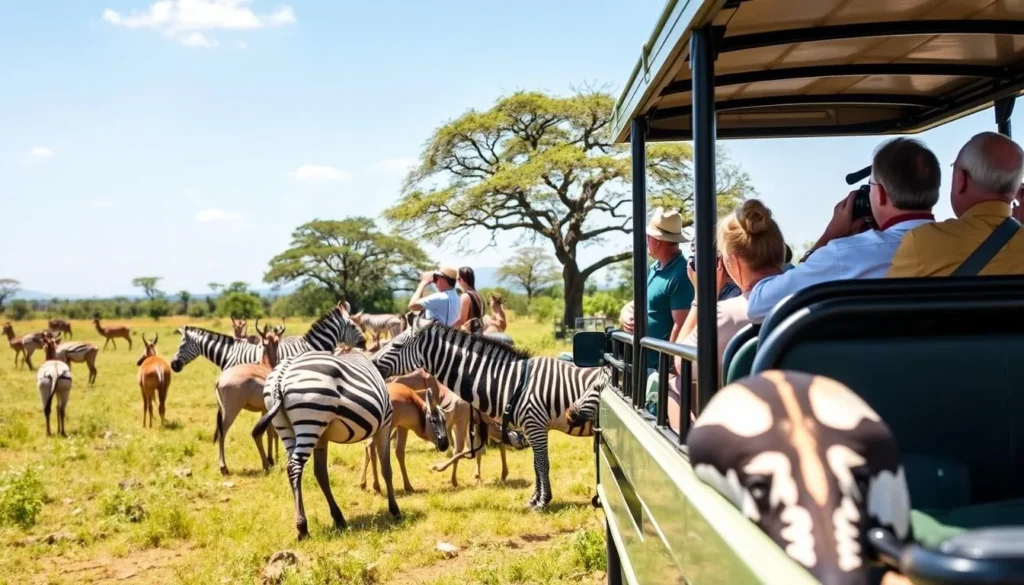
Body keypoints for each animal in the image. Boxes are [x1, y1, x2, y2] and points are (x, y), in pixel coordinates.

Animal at [252, 351, 401, 540]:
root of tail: (282, 373)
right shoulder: (385, 424)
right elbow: (386, 468)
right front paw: (395, 510)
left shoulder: (323, 437)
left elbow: (321, 473)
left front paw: (337, 518)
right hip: (311, 420)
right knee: (295, 466)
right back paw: (302, 526)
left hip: (287, 427)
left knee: (292, 467)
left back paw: (334, 519)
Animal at [371, 323, 609, 509]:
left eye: (396, 346)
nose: (371, 363)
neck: (512, 381)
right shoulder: (530, 427)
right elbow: (535, 464)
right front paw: (534, 499)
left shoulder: (535, 425)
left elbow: (542, 464)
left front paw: (543, 501)